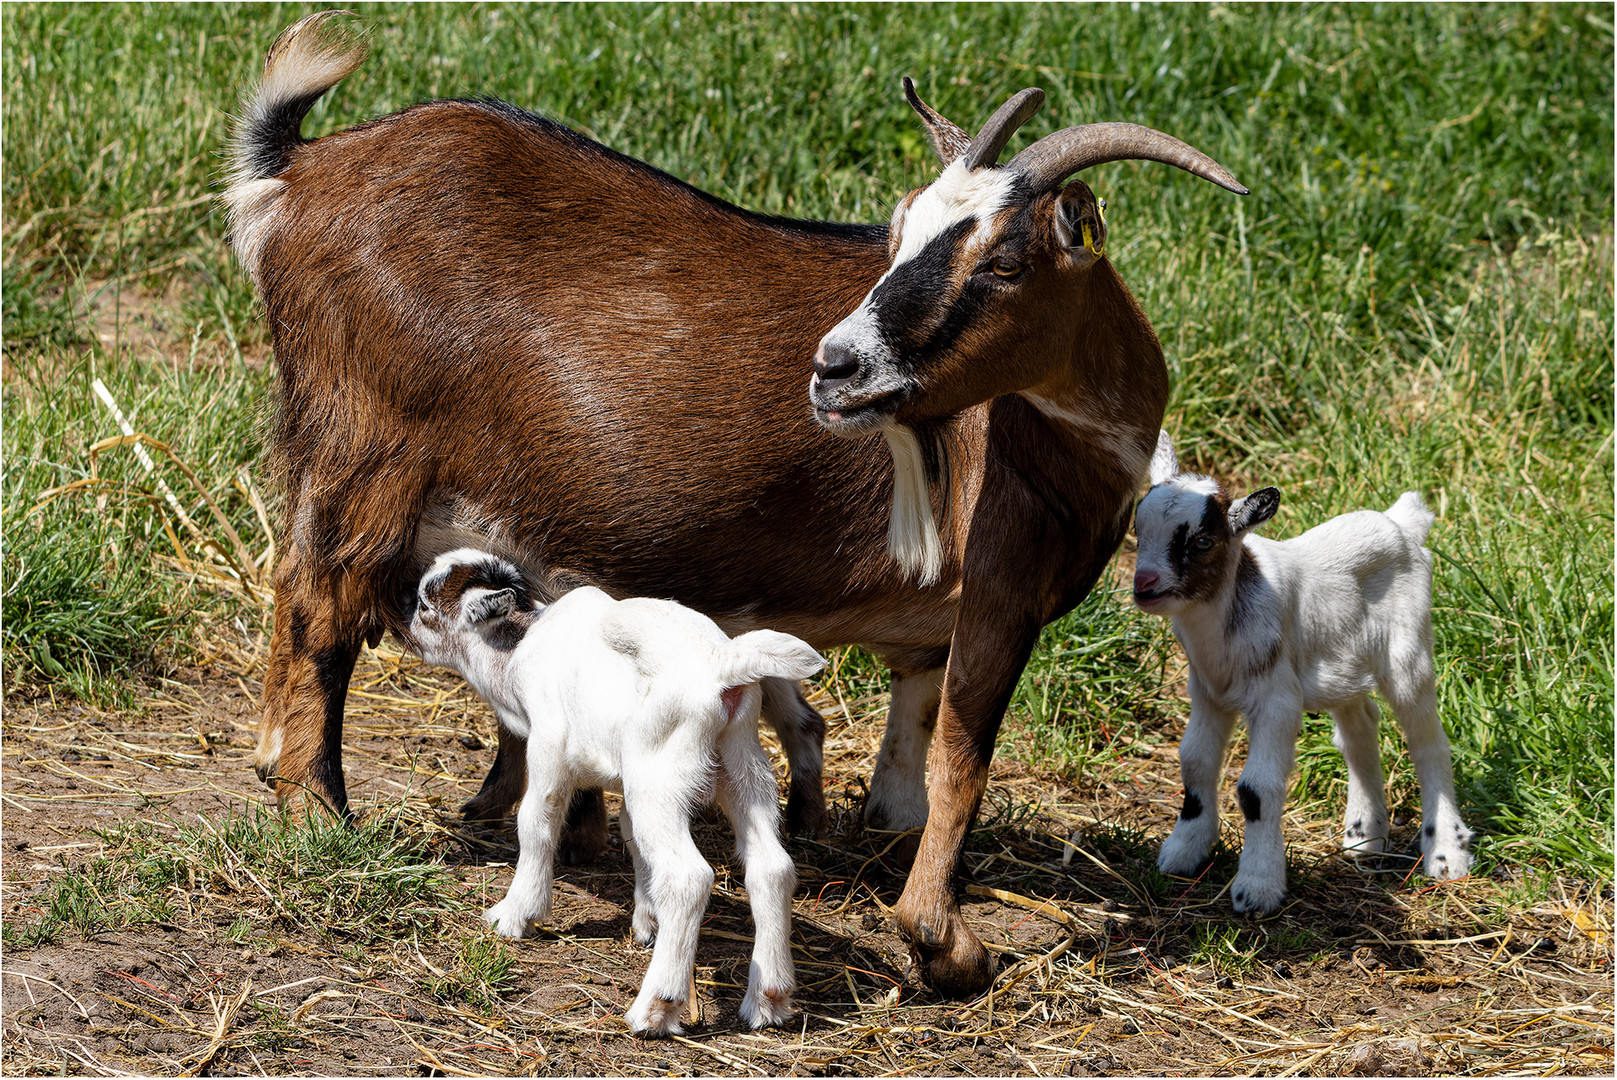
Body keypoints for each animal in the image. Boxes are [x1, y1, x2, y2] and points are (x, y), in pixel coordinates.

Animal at [224, 12, 1235, 1002]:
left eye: (1008, 261)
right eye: (898, 232)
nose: (835, 367)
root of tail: (300, 169)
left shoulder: (935, 626)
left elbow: (908, 754)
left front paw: (879, 843)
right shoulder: (1003, 588)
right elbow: (963, 756)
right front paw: (945, 945)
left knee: (297, 589)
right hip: (369, 446)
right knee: (321, 605)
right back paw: (322, 810)